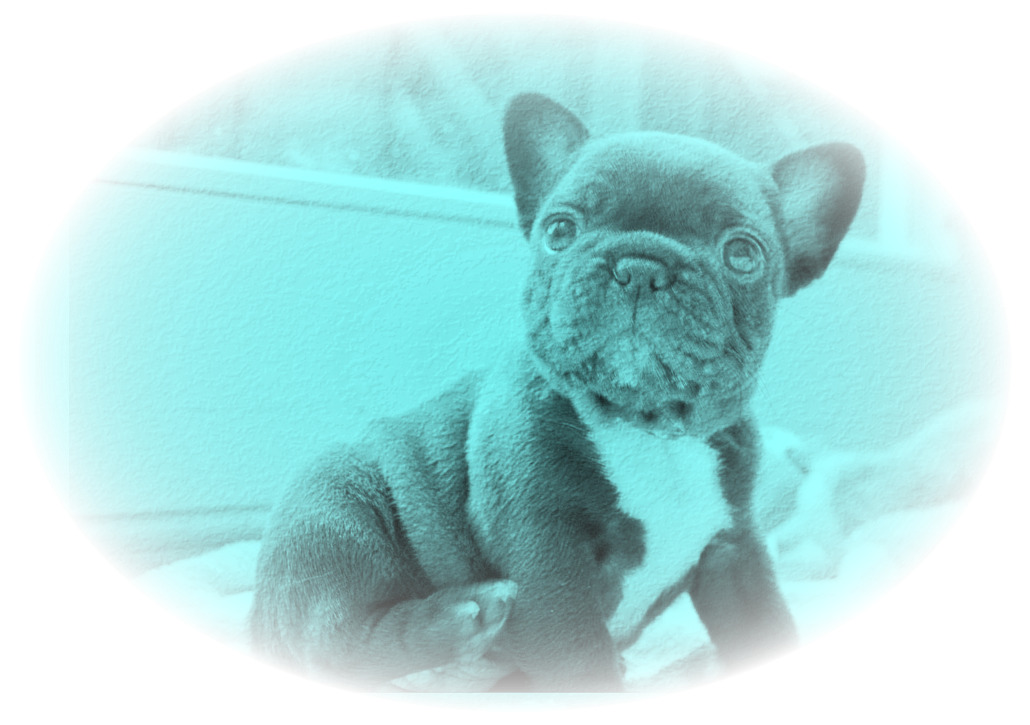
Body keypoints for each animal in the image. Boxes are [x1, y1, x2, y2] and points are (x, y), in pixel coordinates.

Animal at [247, 92, 865, 693]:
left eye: (742, 254)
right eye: (560, 231)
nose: (640, 264)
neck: (647, 428)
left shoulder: (733, 552)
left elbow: (766, 624)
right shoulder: (543, 548)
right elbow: (575, 655)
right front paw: (592, 677)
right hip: (335, 511)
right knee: (329, 643)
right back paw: (456, 621)